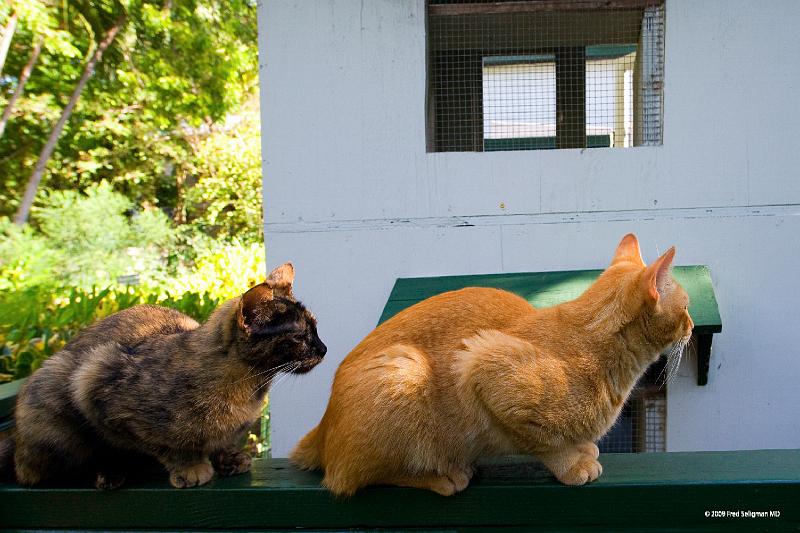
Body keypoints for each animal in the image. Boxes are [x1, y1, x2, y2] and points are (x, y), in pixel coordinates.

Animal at [0, 262, 324, 486]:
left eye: (316, 327)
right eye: (299, 336)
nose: (324, 348)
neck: (248, 387)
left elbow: (222, 440)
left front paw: (228, 458)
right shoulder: (94, 381)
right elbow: (165, 445)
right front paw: (190, 468)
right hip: (54, 406)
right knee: (48, 470)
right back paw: (110, 474)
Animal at [294, 233, 692, 494]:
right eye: (687, 305)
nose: (690, 326)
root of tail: (323, 428)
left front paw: (582, 448)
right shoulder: (480, 364)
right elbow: (545, 444)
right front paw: (572, 463)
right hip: (403, 371)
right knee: (348, 478)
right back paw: (442, 475)